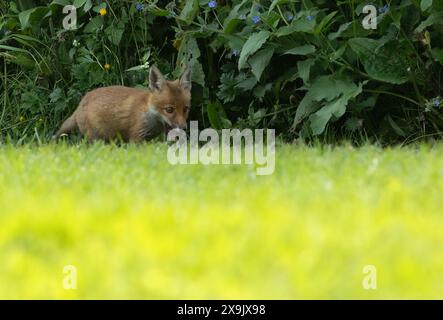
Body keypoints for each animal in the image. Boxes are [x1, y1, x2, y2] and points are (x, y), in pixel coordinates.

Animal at [53, 65, 192, 143]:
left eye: (186, 109)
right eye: (169, 109)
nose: (184, 128)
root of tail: (81, 102)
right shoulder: (136, 137)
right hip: (96, 139)